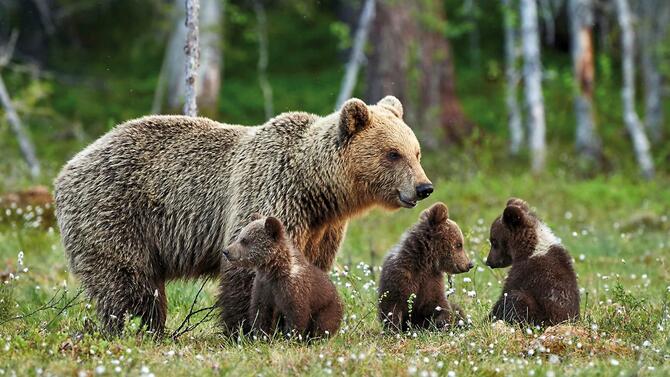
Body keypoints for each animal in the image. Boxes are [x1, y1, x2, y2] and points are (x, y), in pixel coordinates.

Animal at [380, 201, 476, 330]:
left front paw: (442, 323)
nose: (470, 264)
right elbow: (392, 307)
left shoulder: (432, 281)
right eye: (459, 244)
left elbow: (440, 305)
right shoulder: (400, 277)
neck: (425, 262)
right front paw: (393, 328)